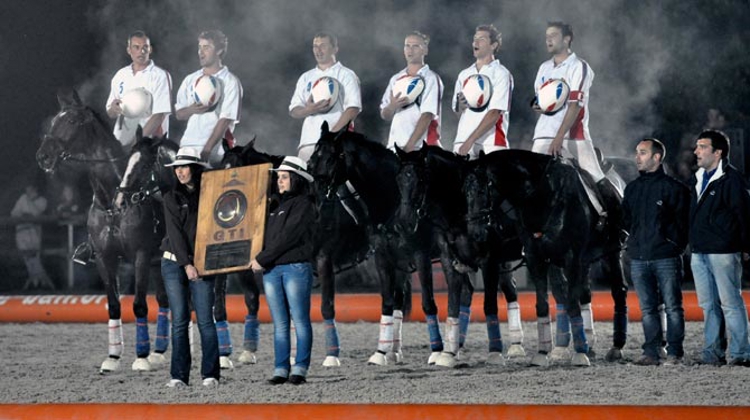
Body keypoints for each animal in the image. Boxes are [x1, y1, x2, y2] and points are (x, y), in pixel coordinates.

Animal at [37, 90, 175, 372]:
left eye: (72, 121)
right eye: (55, 120)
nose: (43, 156)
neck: (113, 202)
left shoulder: (141, 257)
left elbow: (140, 305)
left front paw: (141, 358)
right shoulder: (104, 258)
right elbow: (113, 305)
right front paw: (112, 358)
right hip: (158, 264)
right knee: (165, 300)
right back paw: (159, 352)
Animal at [394, 146, 528, 366]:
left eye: (420, 180)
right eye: (399, 179)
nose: (404, 222)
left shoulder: (488, 261)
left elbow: (489, 304)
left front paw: (494, 352)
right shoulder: (449, 260)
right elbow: (452, 303)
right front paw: (447, 354)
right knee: (510, 289)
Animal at [464, 149, 628, 366]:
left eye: (483, 191)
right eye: (465, 192)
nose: (475, 232)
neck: (542, 198)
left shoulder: (572, 258)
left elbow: (571, 303)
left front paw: (579, 354)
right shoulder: (535, 258)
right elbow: (542, 304)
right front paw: (542, 353)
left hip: (612, 252)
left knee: (618, 290)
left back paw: (616, 348)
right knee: (585, 294)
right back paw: (589, 344)